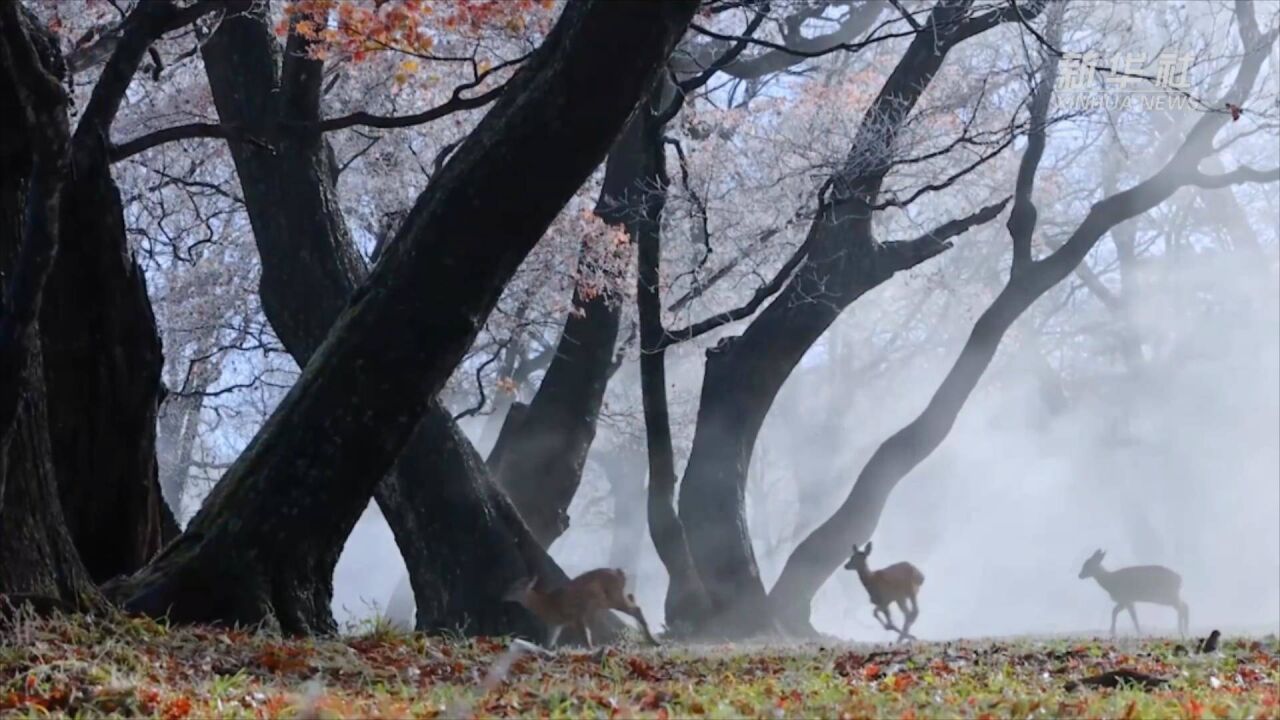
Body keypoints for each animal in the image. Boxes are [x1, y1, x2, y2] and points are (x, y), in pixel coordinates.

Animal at [501, 568, 660, 648]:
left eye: (515, 587)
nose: (503, 596)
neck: (547, 605)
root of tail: (620, 573)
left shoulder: (575, 616)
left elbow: (585, 638)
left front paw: (591, 651)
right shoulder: (555, 624)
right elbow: (549, 643)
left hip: (612, 597)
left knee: (636, 608)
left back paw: (654, 641)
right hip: (611, 599)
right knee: (633, 599)